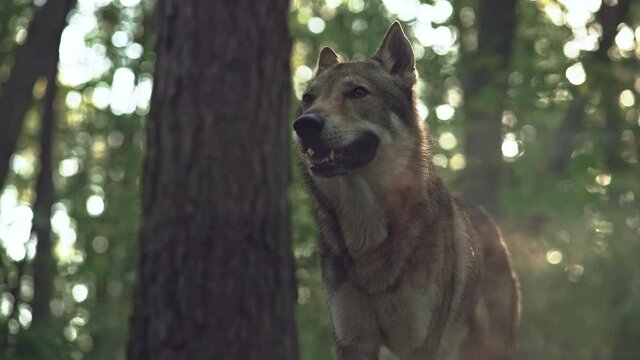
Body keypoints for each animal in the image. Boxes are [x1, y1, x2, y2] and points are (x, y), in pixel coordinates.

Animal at [294, 22, 520, 360]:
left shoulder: (419, 344)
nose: (303, 124)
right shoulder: (353, 342)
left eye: (358, 92)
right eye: (308, 98)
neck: (368, 234)